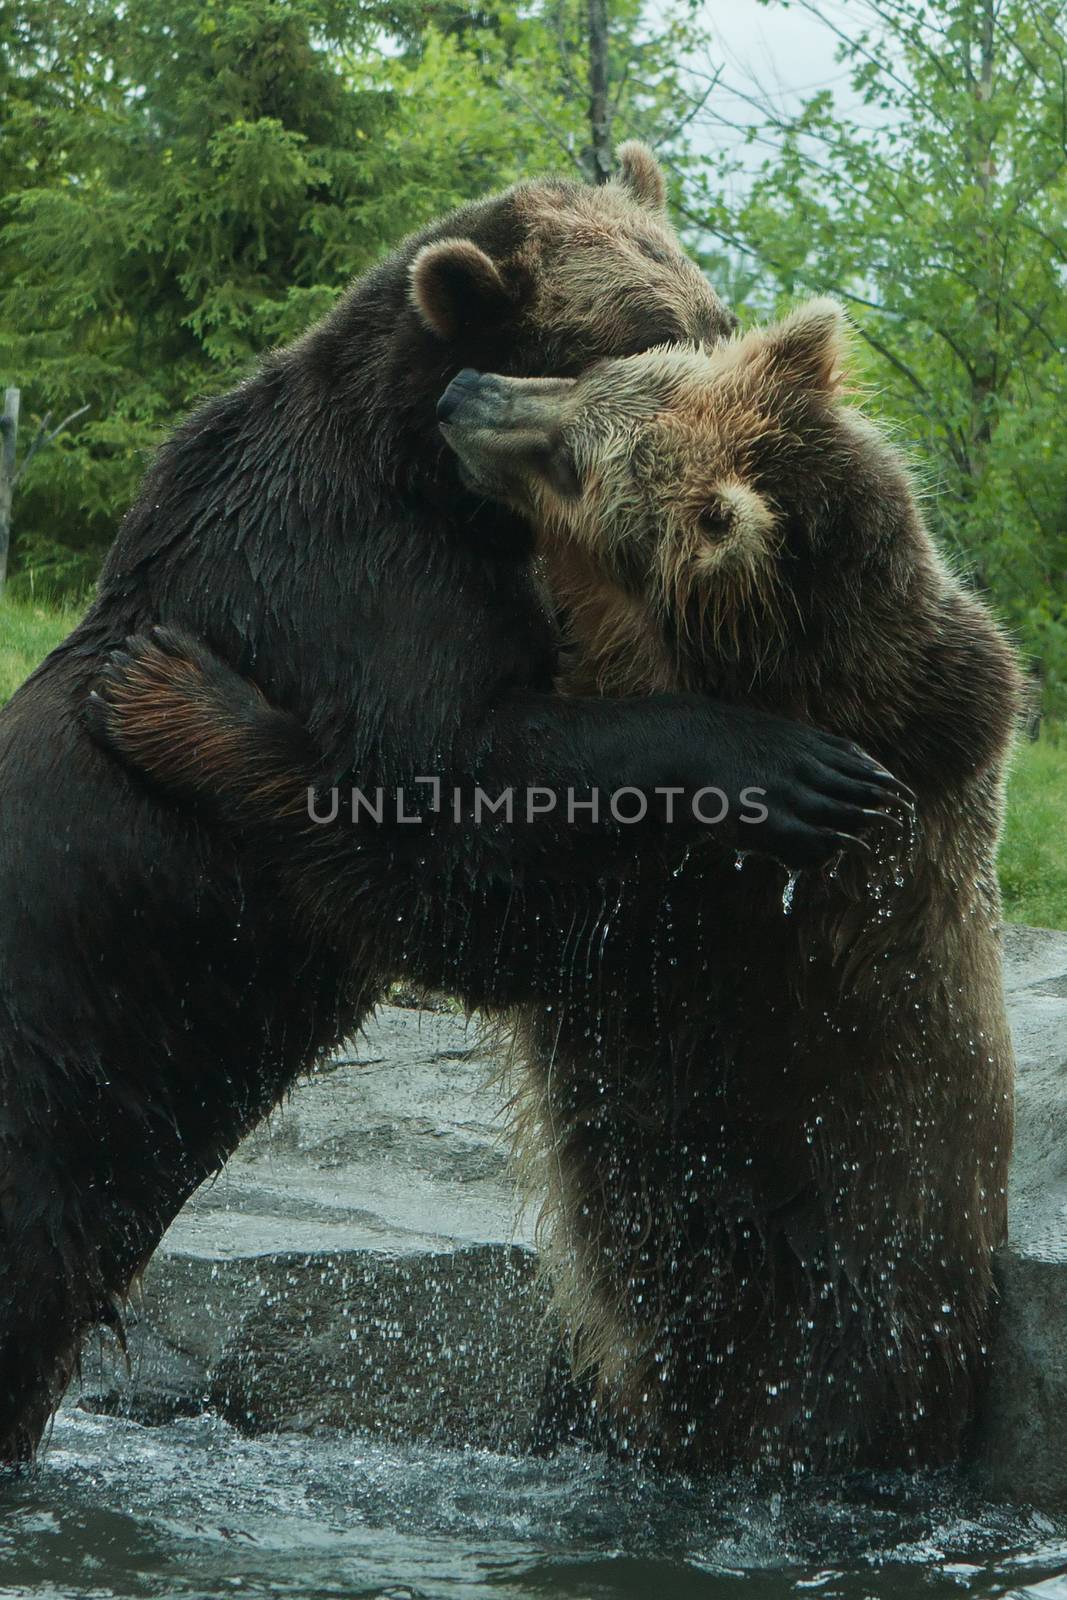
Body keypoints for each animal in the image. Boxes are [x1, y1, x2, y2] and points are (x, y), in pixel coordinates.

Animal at [0, 150, 895, 1465]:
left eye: (710, 315)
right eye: (644, 336)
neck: (425, 478)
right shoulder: (355, 595)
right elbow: (453, 825)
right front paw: (786, 768)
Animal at [95, 300, 1023, 1472]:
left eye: (578, 462)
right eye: (603, 374)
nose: (463, 396)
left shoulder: (706, 904)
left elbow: (455, 895)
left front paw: (175, 692)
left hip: (804, 1318)